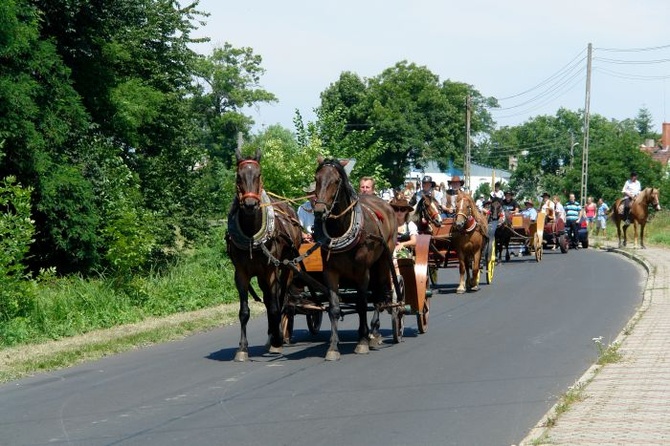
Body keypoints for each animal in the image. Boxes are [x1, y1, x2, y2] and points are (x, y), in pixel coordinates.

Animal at [227, 147, 304, 362]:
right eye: (238, 176)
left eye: (259, 174)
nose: (250, 204)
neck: (252, 236)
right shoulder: (241, 273)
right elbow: (244, 311)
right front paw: (242, 348)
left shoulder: (271, 270)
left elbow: (276, 306)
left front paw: (277, 340)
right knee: (270, 300)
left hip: (286, 268)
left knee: (280, 300)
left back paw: (277, 337)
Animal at [312, 156, 396, 358]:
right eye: (316, 178)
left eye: (336, 181)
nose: (319, 211)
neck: (341, 230)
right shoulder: (330, 273)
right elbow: (334, 308)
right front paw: (333, 347)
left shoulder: (362, 272)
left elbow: (362, 304)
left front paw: (362, 341)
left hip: (383, 260)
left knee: (379, 295)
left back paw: (374, 332)